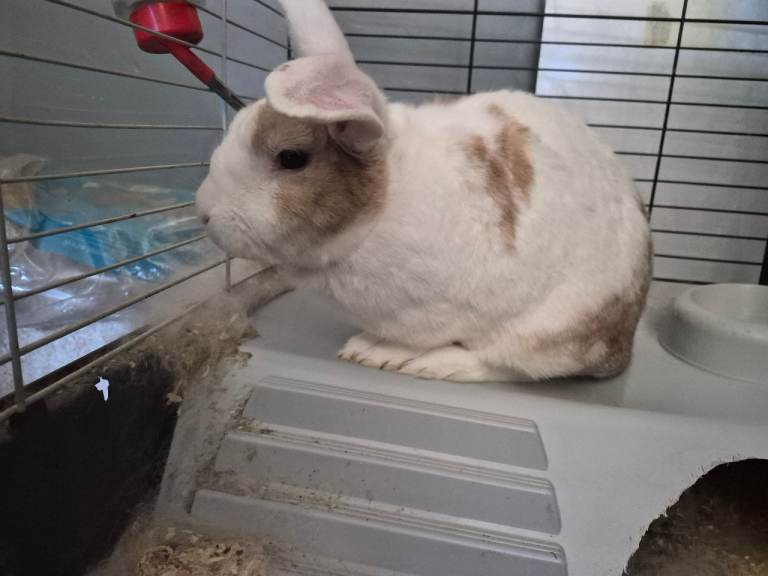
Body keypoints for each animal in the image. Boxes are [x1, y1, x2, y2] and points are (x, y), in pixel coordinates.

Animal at [195, 0, 652, 382]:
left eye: (291, 158)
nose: (203, 212)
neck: (381, 204)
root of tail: (624, 345)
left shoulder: (438, 311)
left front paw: (377, 351)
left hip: (550, 328)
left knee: (506, 366)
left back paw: (420, 362)